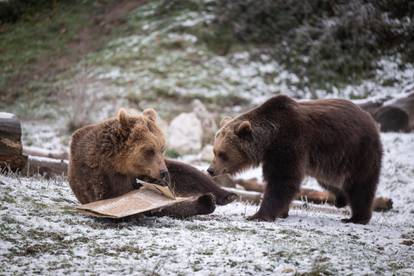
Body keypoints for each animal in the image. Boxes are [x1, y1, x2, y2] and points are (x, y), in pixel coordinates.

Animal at [69, 108, 234, 218]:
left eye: (162, 148)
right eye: (149, 150)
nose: (163, 172)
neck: (118, 163)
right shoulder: (105, 178)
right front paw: (203, 201)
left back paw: (226, 196)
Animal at [206, 95, 382, 224]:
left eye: (222, 154)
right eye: (214, 151)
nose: (210, 170)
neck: (270, 140)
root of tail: (369, 117)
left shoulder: (289, 143)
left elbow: (282, 180)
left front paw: (258, 215)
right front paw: (282, 212)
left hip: (357, 151)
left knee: (361, 184)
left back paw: (357, 217)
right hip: (332, 161)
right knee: (329, 180)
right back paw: (341, 199)